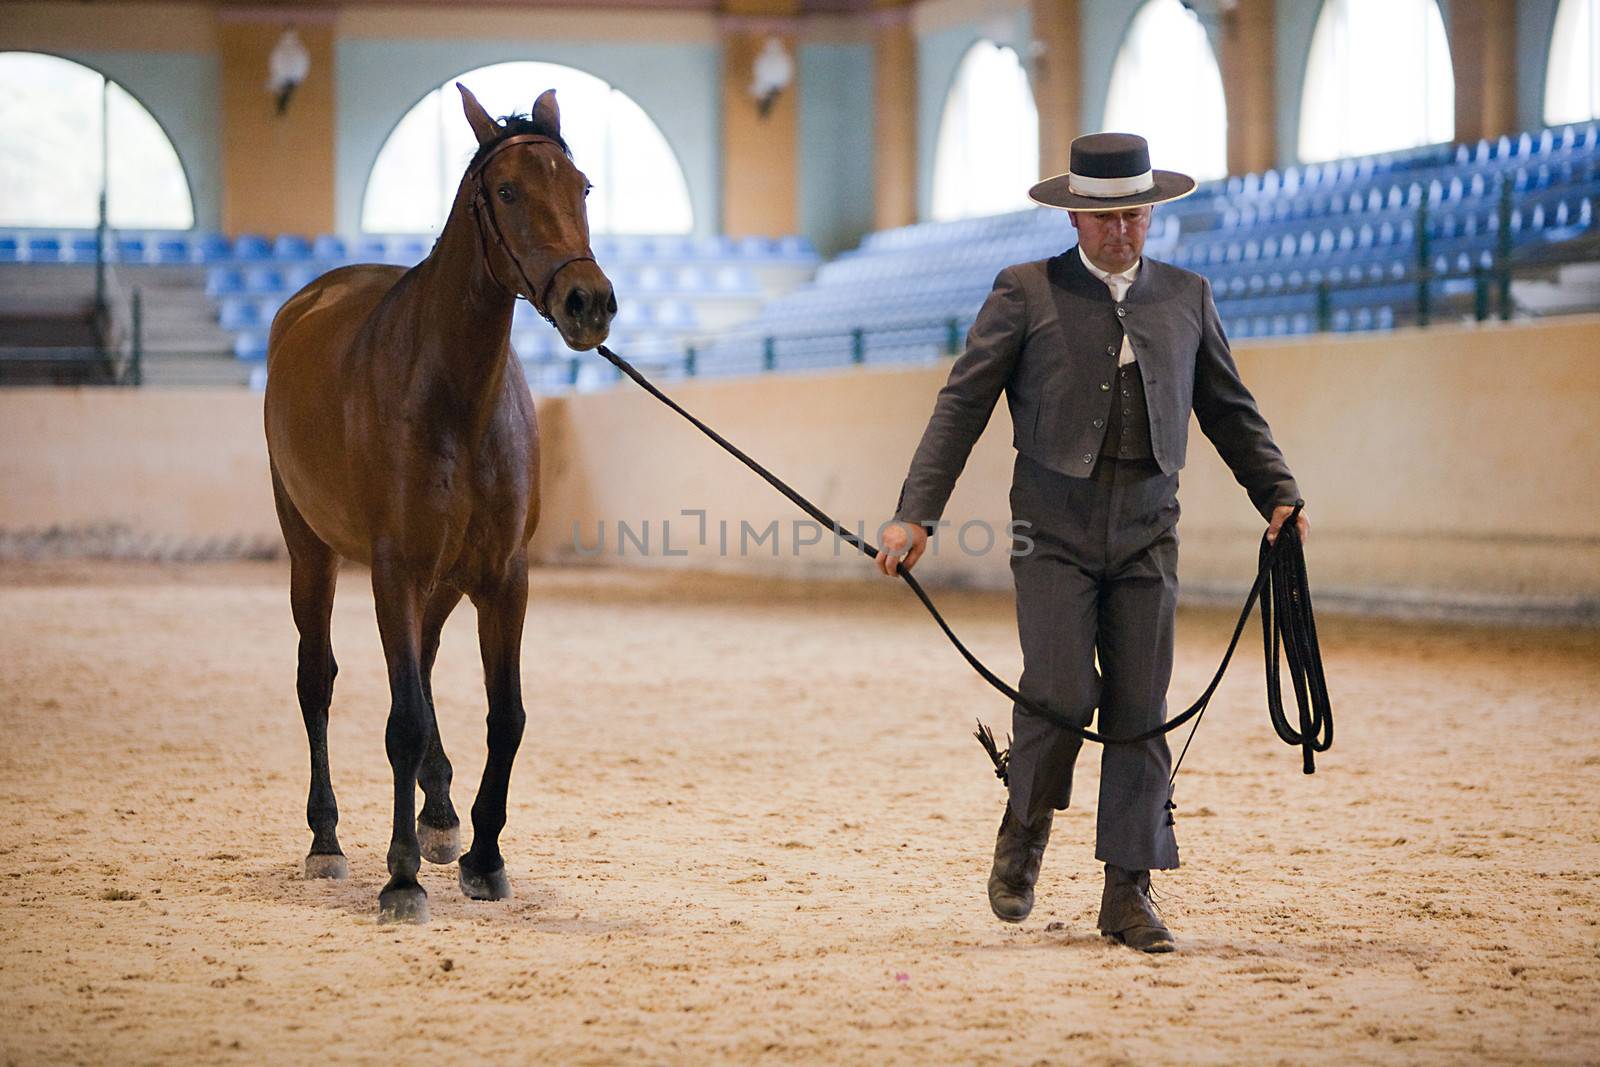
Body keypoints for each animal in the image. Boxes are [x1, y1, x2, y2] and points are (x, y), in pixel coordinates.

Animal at [262, 83, 611, 921]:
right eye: (508, 191)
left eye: (582, 188)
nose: (590, 302)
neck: (456, 398)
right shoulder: (396, 569)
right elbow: (405, 720)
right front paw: (402, 875)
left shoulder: (505, 578)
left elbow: (504, 715)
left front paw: (483, 854)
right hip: (311, 551)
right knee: (318, 678)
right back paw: (328, 838)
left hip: (447, 582)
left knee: (421, 659)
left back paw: (442, 813)